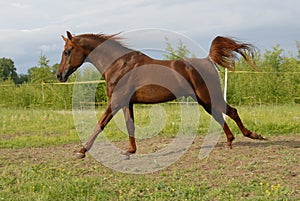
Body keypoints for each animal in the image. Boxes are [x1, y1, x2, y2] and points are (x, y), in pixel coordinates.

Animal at [56, 31, 264, 159]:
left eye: (67, 51)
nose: (59, 75)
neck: (118, 65)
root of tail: (207, 60)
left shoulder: (116, 101)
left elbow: (100, 124)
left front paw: (81, 151)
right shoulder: (126, 103)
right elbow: (130, 126)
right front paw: (130, 151)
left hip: (208, 96)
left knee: (231, 111)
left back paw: (252, 136)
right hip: (204, 100)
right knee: (221, 115)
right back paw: (230, 141)